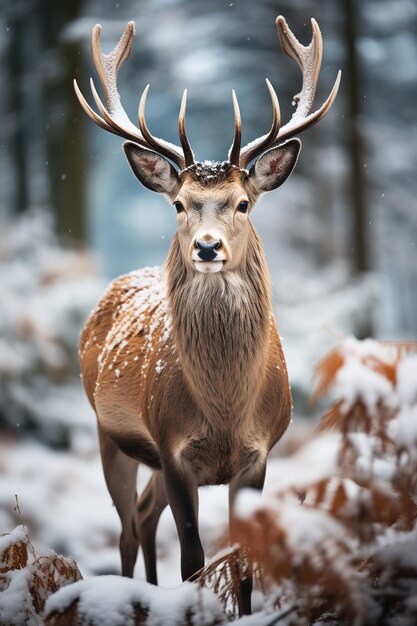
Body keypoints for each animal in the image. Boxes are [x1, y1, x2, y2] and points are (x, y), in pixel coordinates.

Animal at [75, 14, 338, 616]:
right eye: (179, 203)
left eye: (243, 202)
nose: (208, 246)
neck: (225, 410)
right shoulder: (172, 448)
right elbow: (193, 559)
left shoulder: (258, 454)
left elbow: (242, 562)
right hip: (110, 434)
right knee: (128, 528)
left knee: (144, 517)